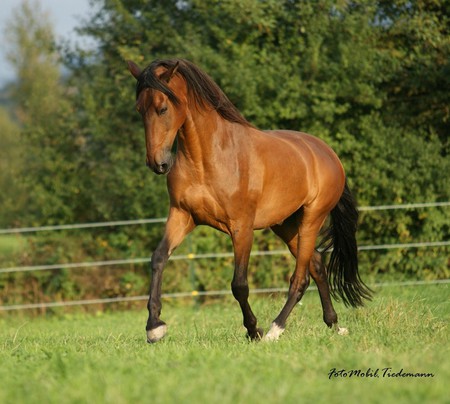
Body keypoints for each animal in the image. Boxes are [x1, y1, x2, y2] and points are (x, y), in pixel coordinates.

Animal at [126, 58, 372, 342]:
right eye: (139, 109)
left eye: (163, 108)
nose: (157, 164)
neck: (208, 159)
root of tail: (329, 154)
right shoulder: (181, 215)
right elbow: (158, 259)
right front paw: (154, 327)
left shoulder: (241, 227)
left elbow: (239, 284)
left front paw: (254, 329)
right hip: (286, 225)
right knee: (318, 265)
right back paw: (334, 324)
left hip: (312, 218)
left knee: (301, 278)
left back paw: (276, 329)